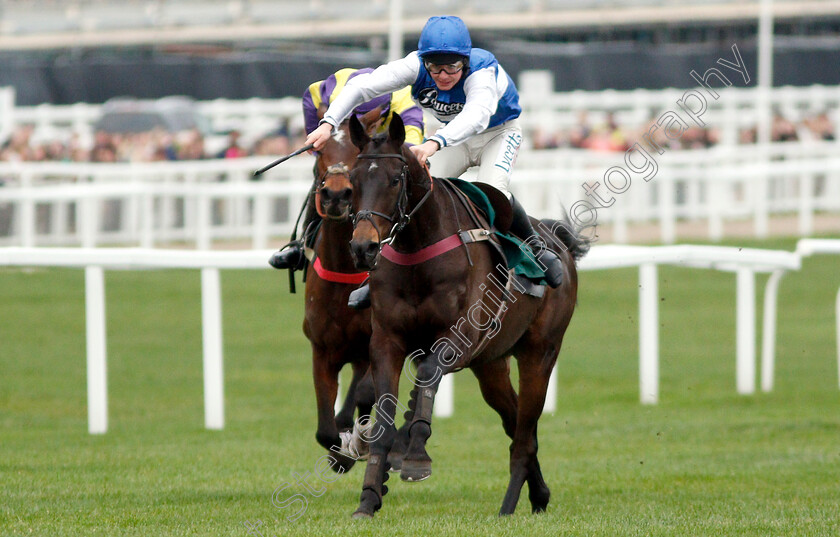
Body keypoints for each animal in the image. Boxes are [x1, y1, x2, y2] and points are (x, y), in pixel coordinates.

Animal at [344, 113, 588, 516]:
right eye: (352, 181)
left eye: (395, 180)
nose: (363, 247)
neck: (417, 250)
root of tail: (557, 240)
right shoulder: (388, 340)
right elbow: (384, 413)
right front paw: (369, 496)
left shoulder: (460, 337)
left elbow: (427, 375)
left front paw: (414, 456)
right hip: (491, 365)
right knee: (516, 423)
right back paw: (539, 495)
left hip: (540, 352)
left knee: (525, 434)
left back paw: (508, 507)